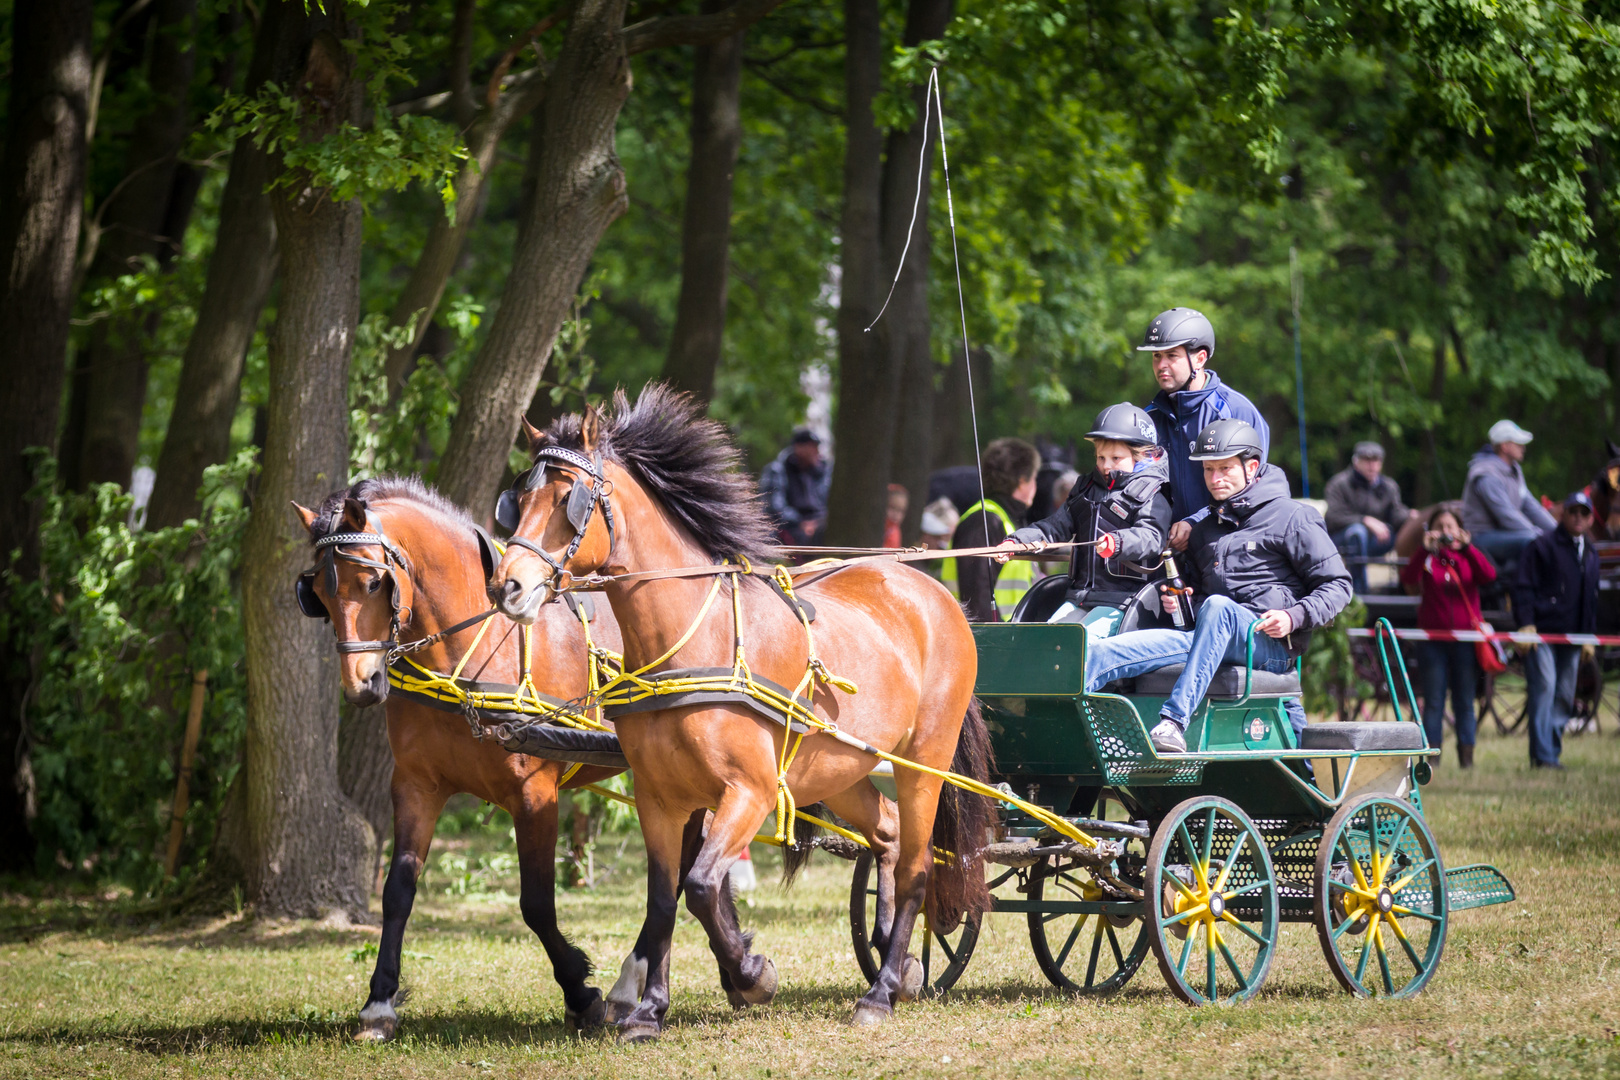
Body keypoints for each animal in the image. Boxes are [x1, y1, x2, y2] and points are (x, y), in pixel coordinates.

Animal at [288, 479, 622, 1036]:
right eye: (317, 595)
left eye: (373, 583)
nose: (362, 686)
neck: (468, 655)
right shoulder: (416, 785)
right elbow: (397, 890)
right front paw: (379, 1002)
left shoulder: (534, 793)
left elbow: (536, 903)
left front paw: (580, 990)